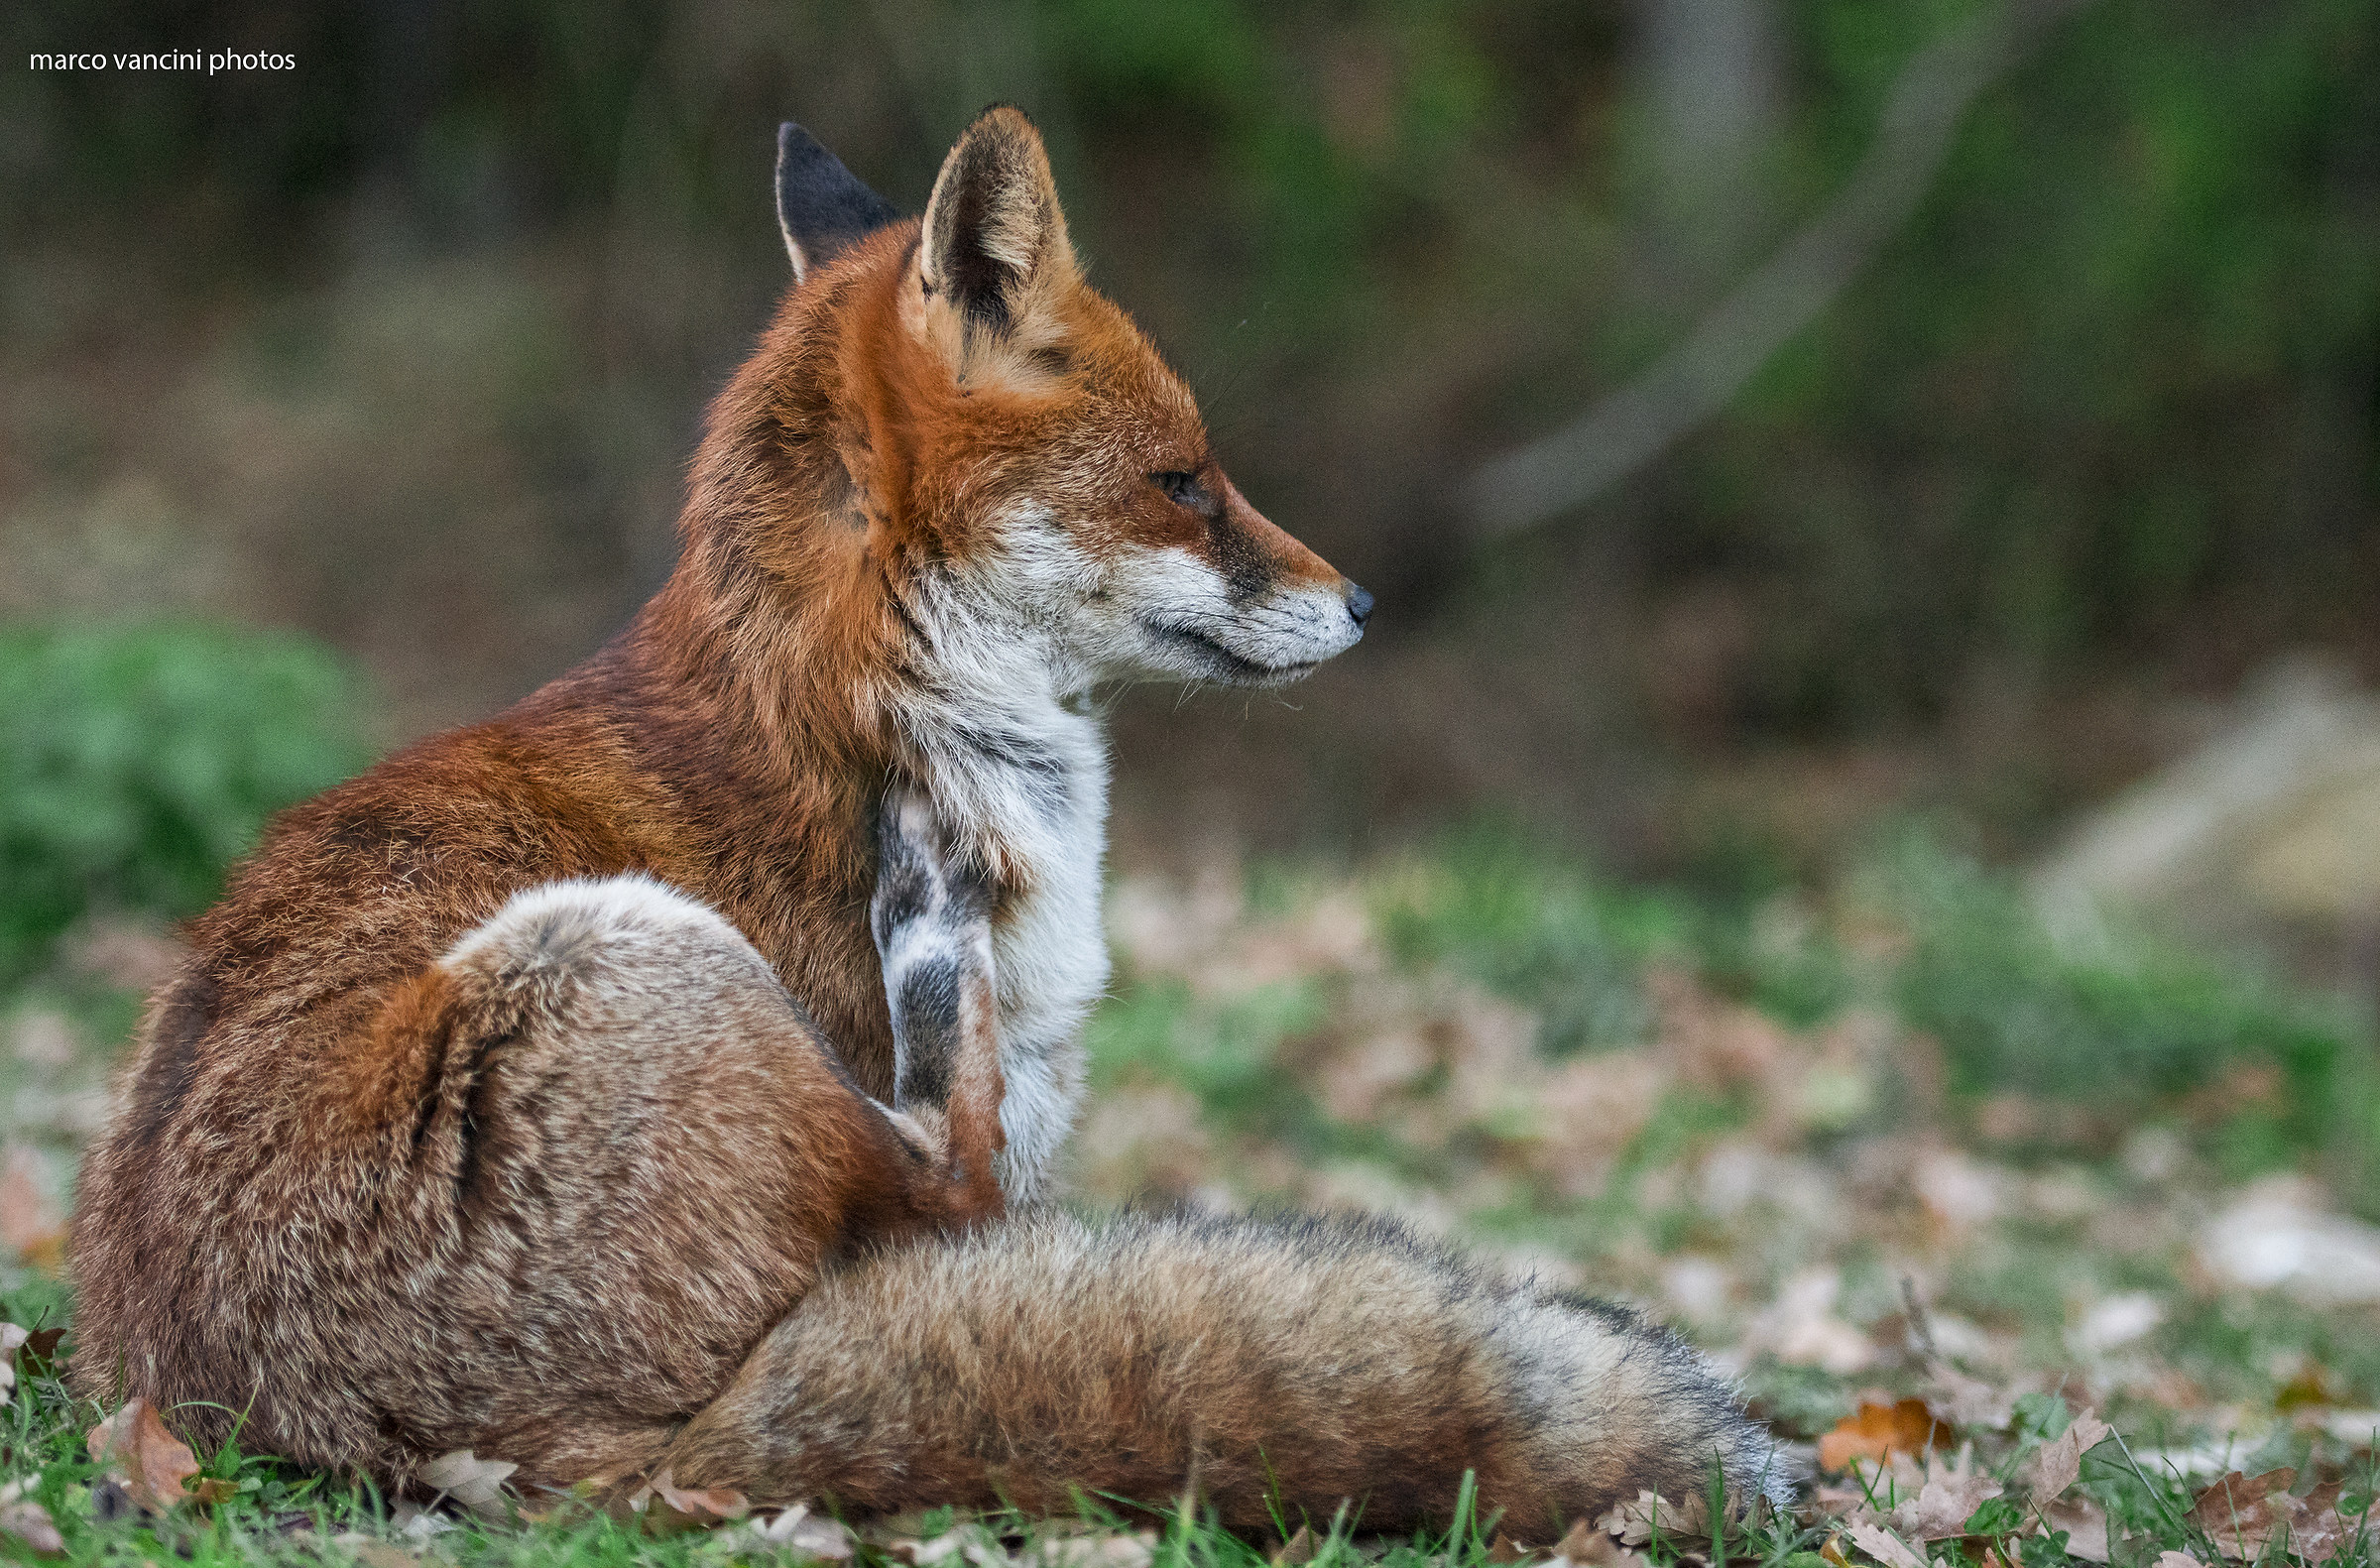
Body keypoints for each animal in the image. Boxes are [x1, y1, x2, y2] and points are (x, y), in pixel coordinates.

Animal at [68, 107, 1782, 1532]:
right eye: (1185, 482)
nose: (1362, 601)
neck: (879, 699)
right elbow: (971, 1168)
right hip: (621, 944)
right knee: (931, 1161)